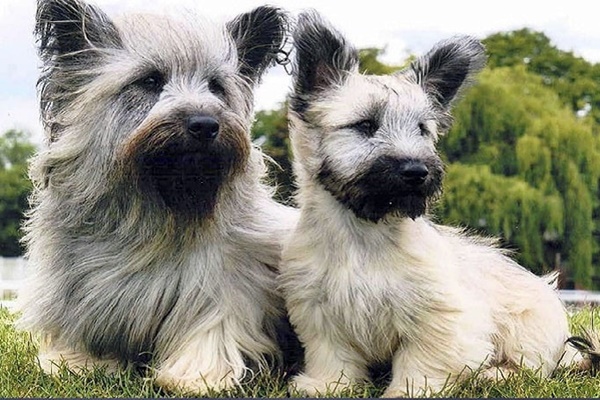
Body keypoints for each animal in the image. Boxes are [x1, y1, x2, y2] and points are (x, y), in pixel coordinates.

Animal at [16, 0, 300, 394]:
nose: (204, 125)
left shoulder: (223, 285)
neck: (155, 213)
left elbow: (212, 328)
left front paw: (197, 376)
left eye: (216, 86)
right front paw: (79, 362)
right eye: (150, 80)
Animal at [280, 9, 580, 396]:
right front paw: (328, 385)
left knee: (533, 366)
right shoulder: (319, 310)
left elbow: (421, 360)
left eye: (422, 129)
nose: (416, 171)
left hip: (528, 326)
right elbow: (333, 356)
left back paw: (496, 374)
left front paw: (408, 390)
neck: (364, 234)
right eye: (365, 125)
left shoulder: (437, 316)